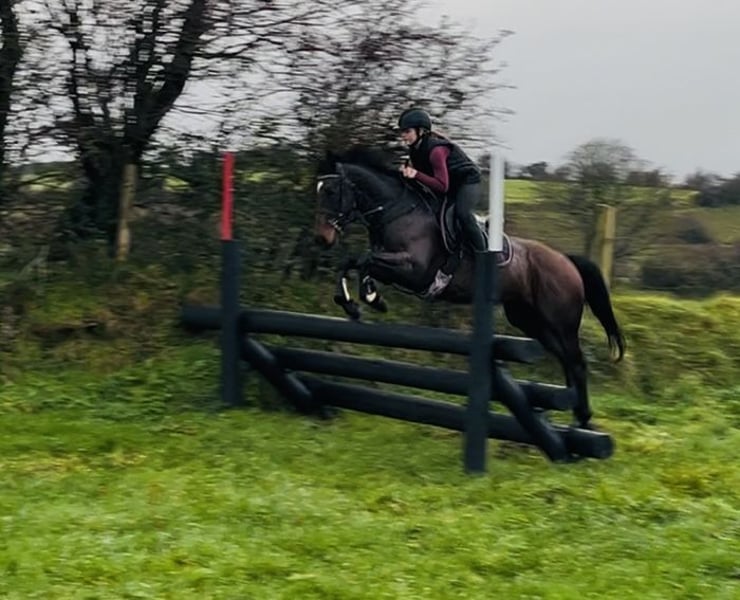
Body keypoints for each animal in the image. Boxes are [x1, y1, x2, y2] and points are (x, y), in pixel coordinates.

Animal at [313, 146, 625, 429]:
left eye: (331, 191)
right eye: (318, 190)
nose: (321, 239)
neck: (397, 211)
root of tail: (566, 260)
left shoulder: (415, 271)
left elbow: (365, 261)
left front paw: (371, 298)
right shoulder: (392, 265)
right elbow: (353, 262)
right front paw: (352, 303)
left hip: (561, 322)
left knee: (577, 362)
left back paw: (584, 417)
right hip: (529, 320)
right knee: (565, 359)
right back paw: (575, 410)